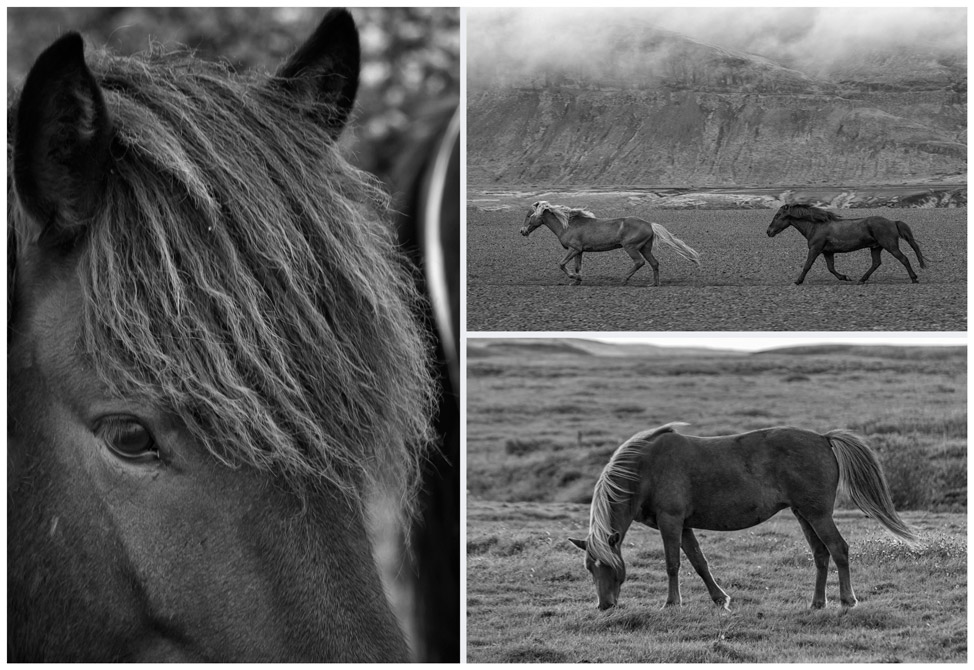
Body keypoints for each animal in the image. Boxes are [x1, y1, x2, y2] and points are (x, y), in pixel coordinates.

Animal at [524, 200, 696, 284]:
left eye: (529, 215)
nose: (522, 231)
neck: (568, 225)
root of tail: (649, 224)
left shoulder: (573, 249)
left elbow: (561, 264)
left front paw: (574, 278)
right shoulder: (579, 251)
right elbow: (577, 266)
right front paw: (577, 281)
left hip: (631, 247)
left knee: (640, 262)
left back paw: (624, 280)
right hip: (645, 248)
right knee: (654, 263)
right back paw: (654, 284)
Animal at [568, 426, 920, 616]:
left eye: (610, 567)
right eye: (589, 568)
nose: (605, 606)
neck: (644, 469)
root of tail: (823, 438)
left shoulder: (671, 522)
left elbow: (672, 564)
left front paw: (671, 603)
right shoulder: (684, 525)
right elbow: (699, 562)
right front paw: (720, 599)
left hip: (818, 515)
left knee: (839, 549)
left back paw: (847, 601)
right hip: (803, 515)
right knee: (821, 555)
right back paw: (817, 603)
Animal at [768, 206, 928, 288]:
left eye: (777, 215)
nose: (768, 231)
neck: (815, 226)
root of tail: (893, 222)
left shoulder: (815, 249)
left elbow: (807, 266)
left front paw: (798, 281)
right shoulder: (827, 252)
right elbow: (831, 268)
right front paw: (845, 277)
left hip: (890, 246)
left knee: (904, 259)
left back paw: (914, 279)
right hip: (876, 247)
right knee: (876, 263)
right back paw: (861, 280)